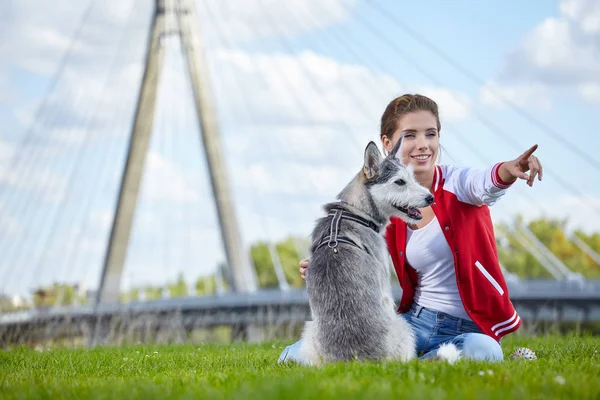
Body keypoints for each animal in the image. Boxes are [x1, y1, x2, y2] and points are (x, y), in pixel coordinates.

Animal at [298, 138, 432, 366]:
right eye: (399, 182)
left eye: (413, 178)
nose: (431, 197)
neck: (354, 212)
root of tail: (357, 361)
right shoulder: (385, 288)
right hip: (403, 327)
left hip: (309, 332)